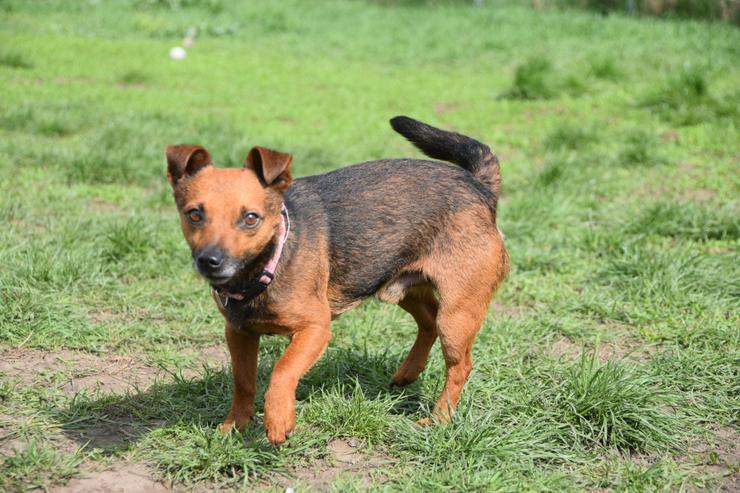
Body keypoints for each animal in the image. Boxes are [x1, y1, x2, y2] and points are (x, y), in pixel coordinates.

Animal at [164, 117, 506, 444]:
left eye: (250, 219)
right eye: (194, 215)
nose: (210, 260)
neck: (269, 261)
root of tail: (479, 186)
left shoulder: (315, 329)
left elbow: (282, 370)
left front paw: (278, 419)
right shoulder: (239, 333)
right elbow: (243, 382)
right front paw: (235, 425)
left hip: (457, 315)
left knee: (459, 365)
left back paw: (439, 418)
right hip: (401, 287)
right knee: (428, 322)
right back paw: (408, 374)